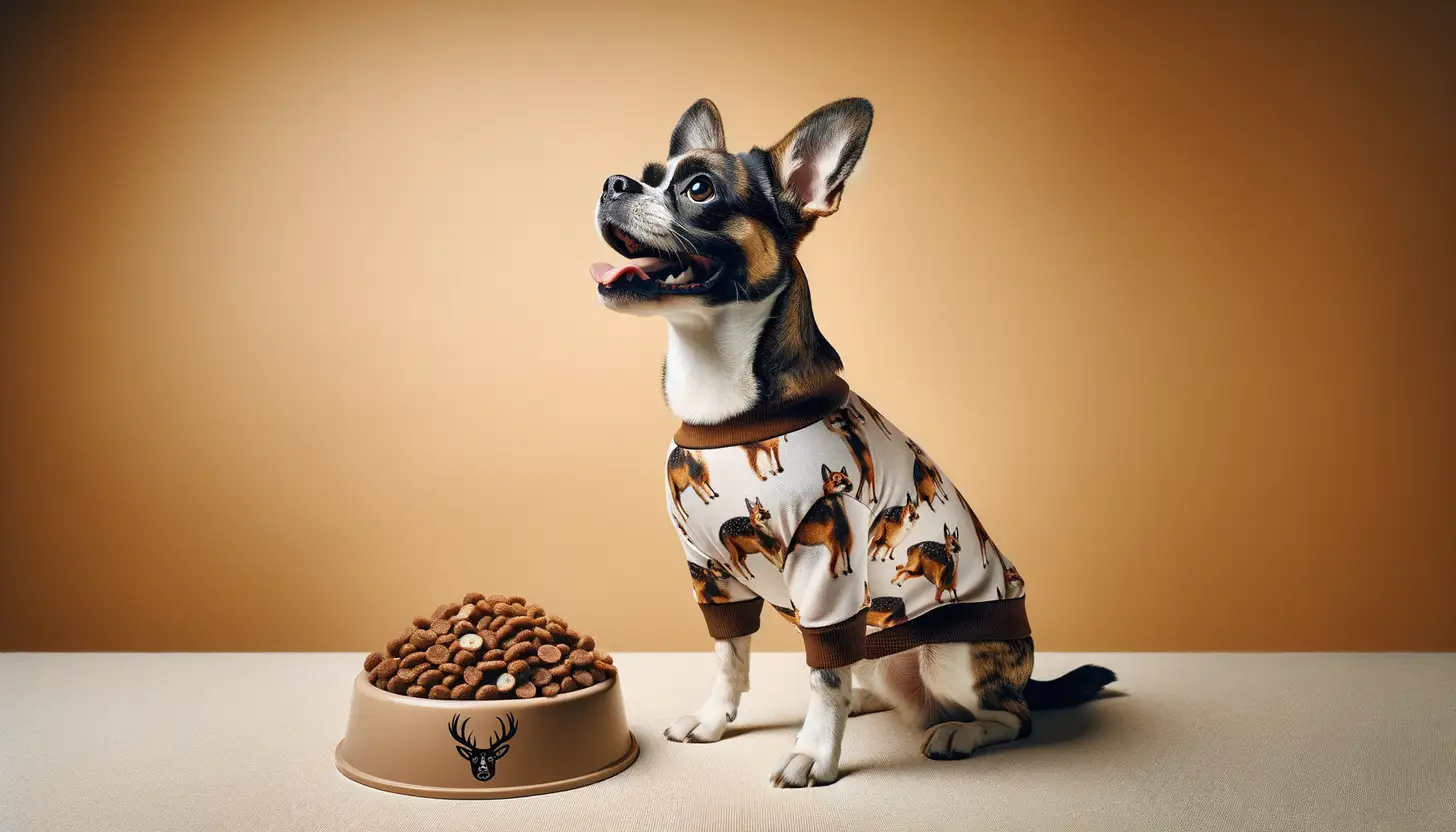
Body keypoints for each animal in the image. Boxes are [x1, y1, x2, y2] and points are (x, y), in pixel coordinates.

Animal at [591, 97, 1112, 786]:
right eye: (648, 175)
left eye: (699, 189)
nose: (613, 184)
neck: (721, 396)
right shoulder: (710, 572)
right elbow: (730, 655)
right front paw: (714, 720)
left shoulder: (827, 577)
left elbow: (822, 672)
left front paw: (815, 753)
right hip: (880, 645)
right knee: (874, 682)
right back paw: (869, 703)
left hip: (951, 653)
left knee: (1009, 715)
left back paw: (958, 732)